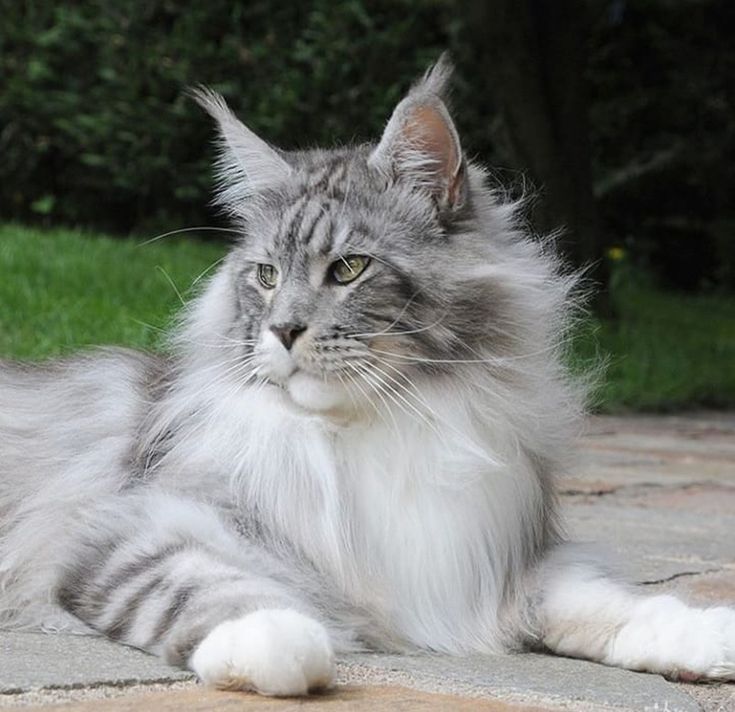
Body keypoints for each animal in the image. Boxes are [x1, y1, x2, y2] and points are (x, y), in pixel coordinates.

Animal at [1, 61, 735, 696]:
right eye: (266, 276)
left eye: (349, 269)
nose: (283, 331)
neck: (376, 427)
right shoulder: (138, 524)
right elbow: (210, 588)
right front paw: (278, 640)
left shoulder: (493, 562)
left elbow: (606, 601)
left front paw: (700, 636)